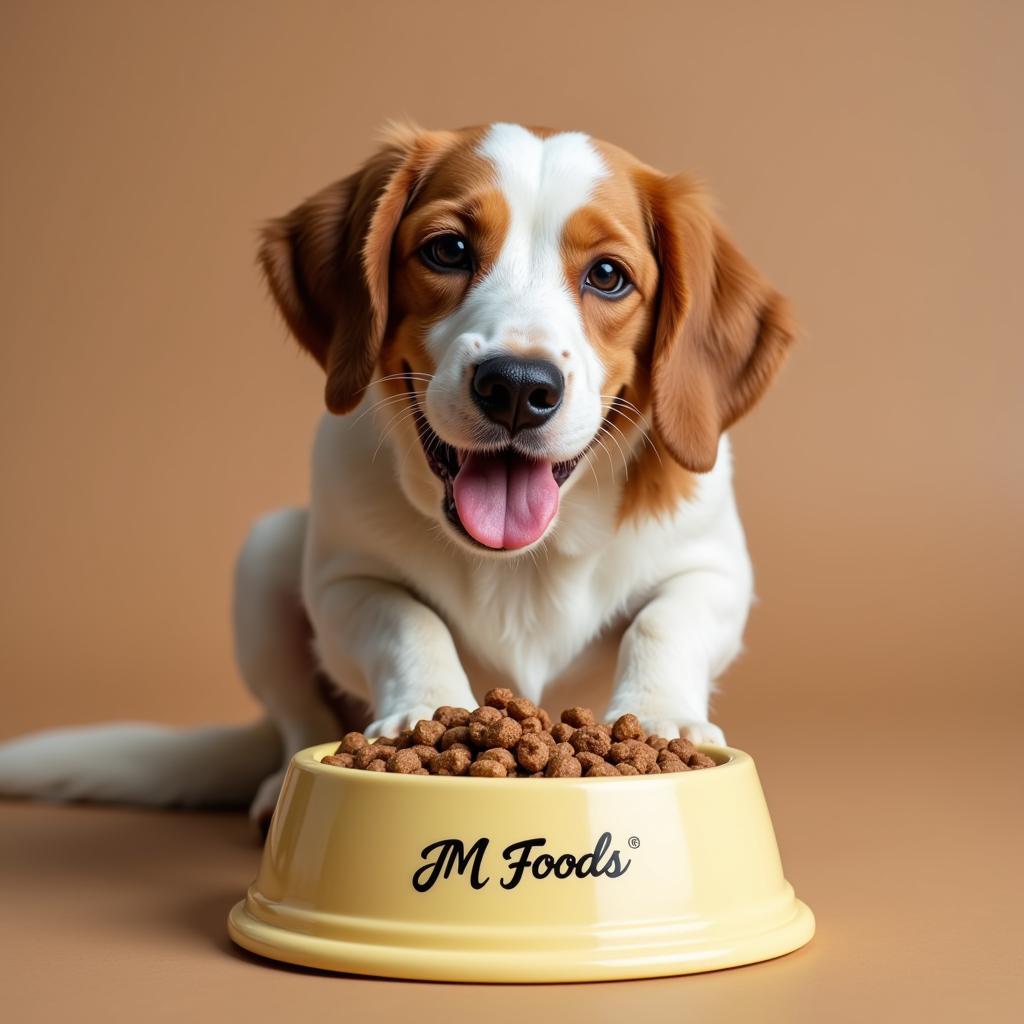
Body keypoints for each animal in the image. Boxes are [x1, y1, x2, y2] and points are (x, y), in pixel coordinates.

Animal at [0, 119, 794, 827]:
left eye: (607, 275)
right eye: (447, 249)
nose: (517, 386)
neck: (520, 563)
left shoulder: (715, 571)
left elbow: (665, 621)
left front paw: (661, 719)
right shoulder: (344, 583)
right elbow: (408, 621)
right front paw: (423, 711)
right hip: (265, 555)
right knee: (295, 721)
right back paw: (274, 791)